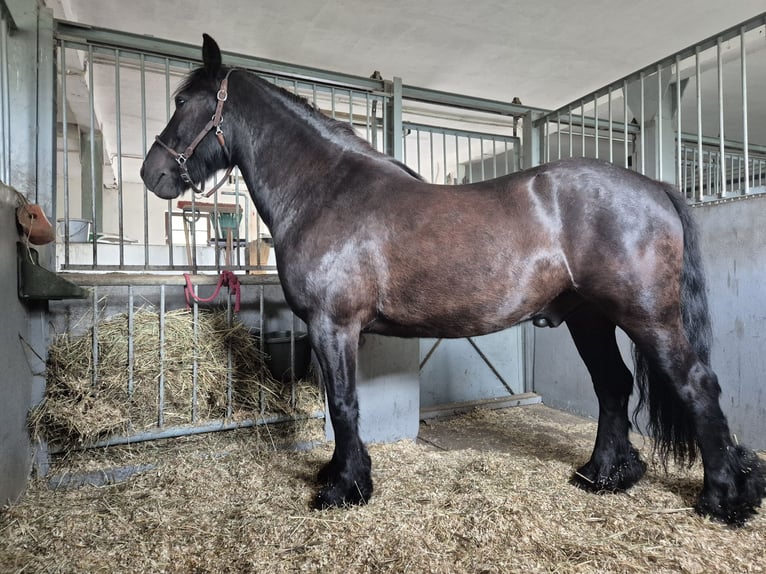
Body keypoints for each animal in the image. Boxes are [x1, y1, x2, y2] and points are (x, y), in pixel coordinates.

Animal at [141, 34, 765, 526]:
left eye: (182, 101)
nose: (153, 174)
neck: (326, 191)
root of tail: (652, 184)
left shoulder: (332, 325)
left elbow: (343, 404)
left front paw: (343, 488)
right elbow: (344, 405)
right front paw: (344, 476)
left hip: (647, 316)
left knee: (696, 385)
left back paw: (723, 498)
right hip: (590, 319)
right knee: (613, 387)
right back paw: (602, 475)